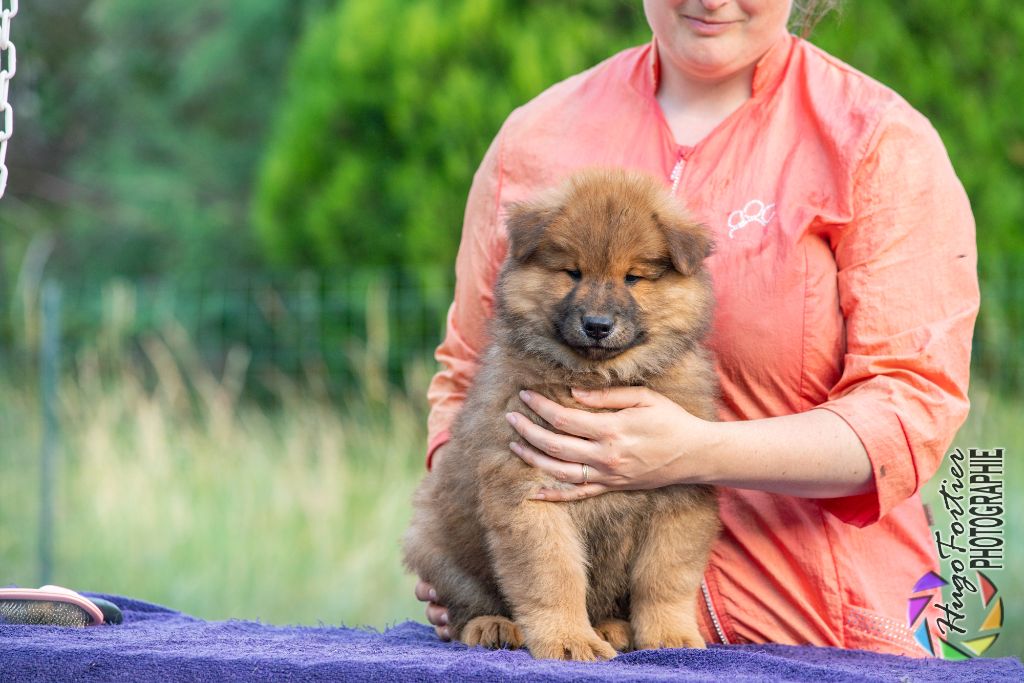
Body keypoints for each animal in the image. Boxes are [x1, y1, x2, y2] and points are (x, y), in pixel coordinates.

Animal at [401, 169, 720, 663]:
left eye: (633, 278)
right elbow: (554, 575)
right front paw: (569, 640)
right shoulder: (528, 490)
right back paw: (493, 626)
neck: (599, 377)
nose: (597, 325)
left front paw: (671, 636)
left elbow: (664, 578)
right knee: (467, 603)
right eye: (573, 272)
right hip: (440, 544)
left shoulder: (680, 494)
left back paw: (612, 628)